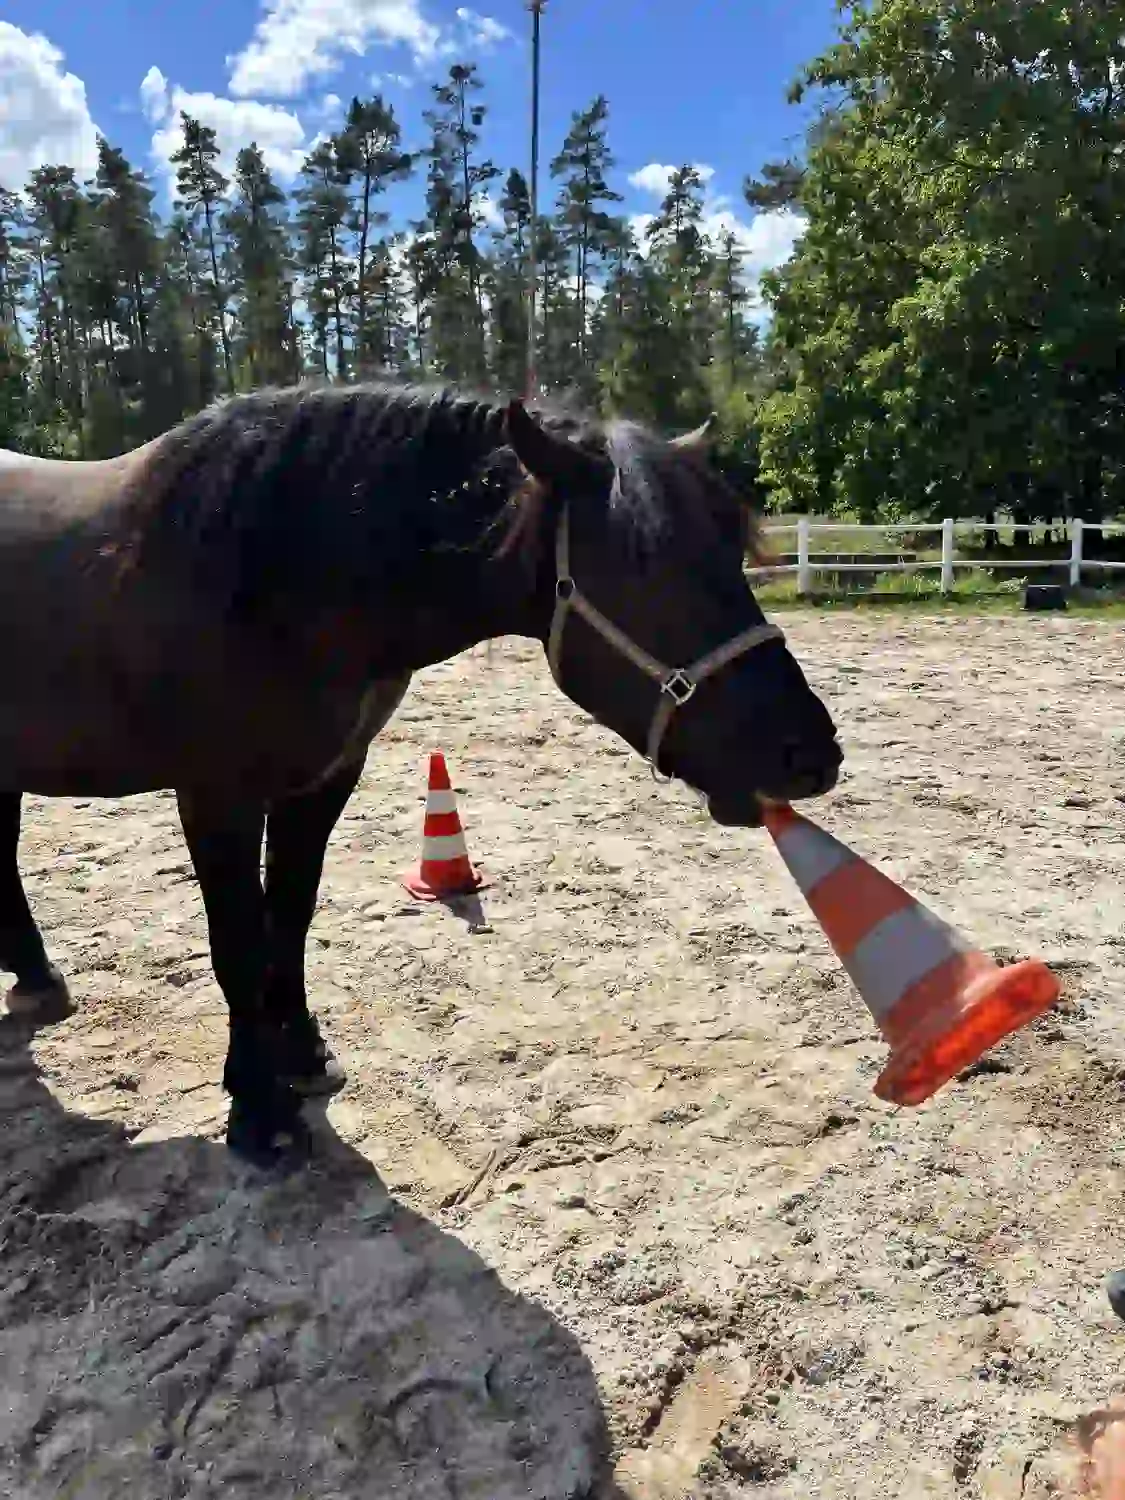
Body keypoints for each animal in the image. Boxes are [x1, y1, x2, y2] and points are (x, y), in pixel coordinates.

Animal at [0, 381, 842, 1167]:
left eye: (731, 548)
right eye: (648, 562)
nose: (810, 753)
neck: (278, 572)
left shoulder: (323, 780)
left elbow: (289, 915)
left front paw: (300, 1052)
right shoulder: (216, 798)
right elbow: (237, 940)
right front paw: (258, 1109)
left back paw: (37, 980)